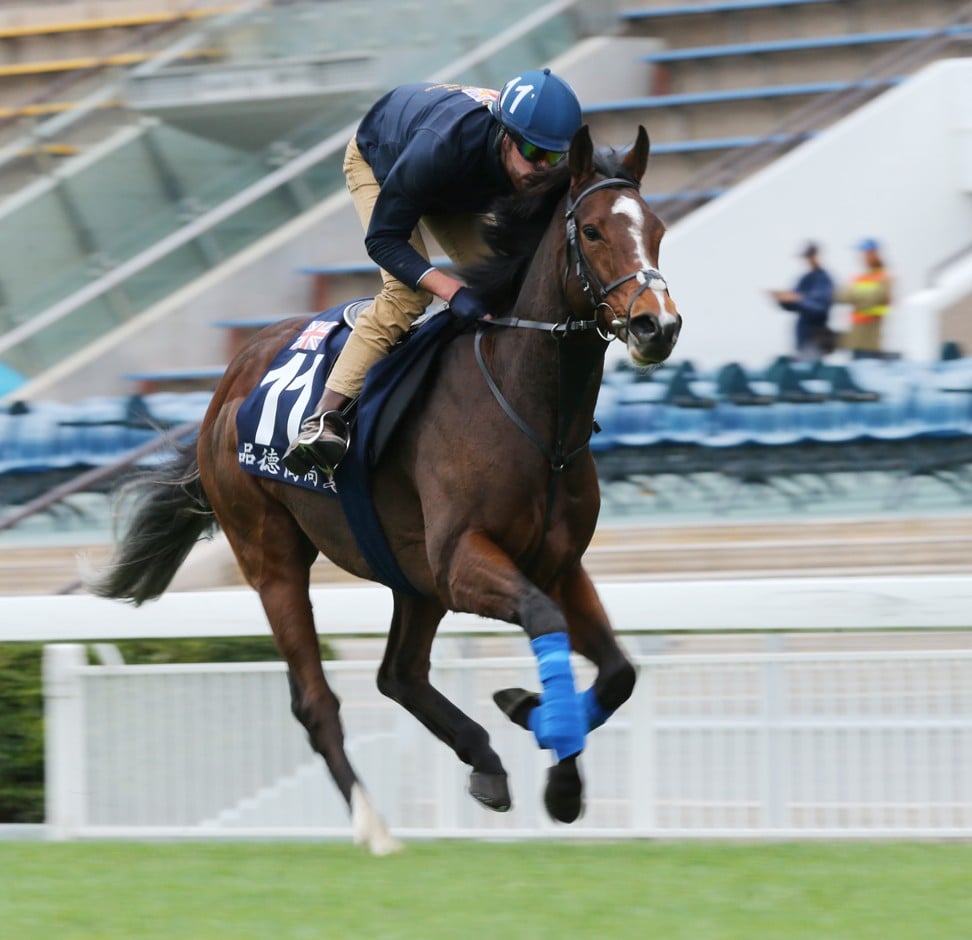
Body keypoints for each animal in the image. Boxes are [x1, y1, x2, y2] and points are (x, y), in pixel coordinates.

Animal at [91, 125, 684, 852]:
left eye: (656, 230)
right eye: (595, 231)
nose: (658, 326)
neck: (531, 413)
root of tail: (228, 380)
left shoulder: (557, 563)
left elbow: (621, 671)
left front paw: (542, 735)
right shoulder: (462, 560)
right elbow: (543, 619)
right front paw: (551, 743)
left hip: (411, 576)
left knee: (398, 673)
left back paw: (485, 759)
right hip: (273, 556)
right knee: (316, 699)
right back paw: (374, 826)